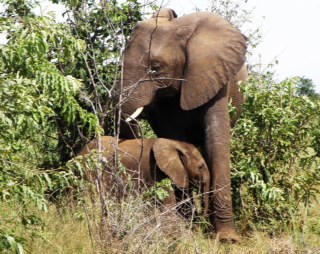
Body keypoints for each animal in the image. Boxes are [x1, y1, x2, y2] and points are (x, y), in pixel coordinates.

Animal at [116, 7, 249, 242]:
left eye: (155, 68)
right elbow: (175, 138)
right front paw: (189, 228)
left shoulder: (215, 77)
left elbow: (216, 143)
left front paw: (226, 239)